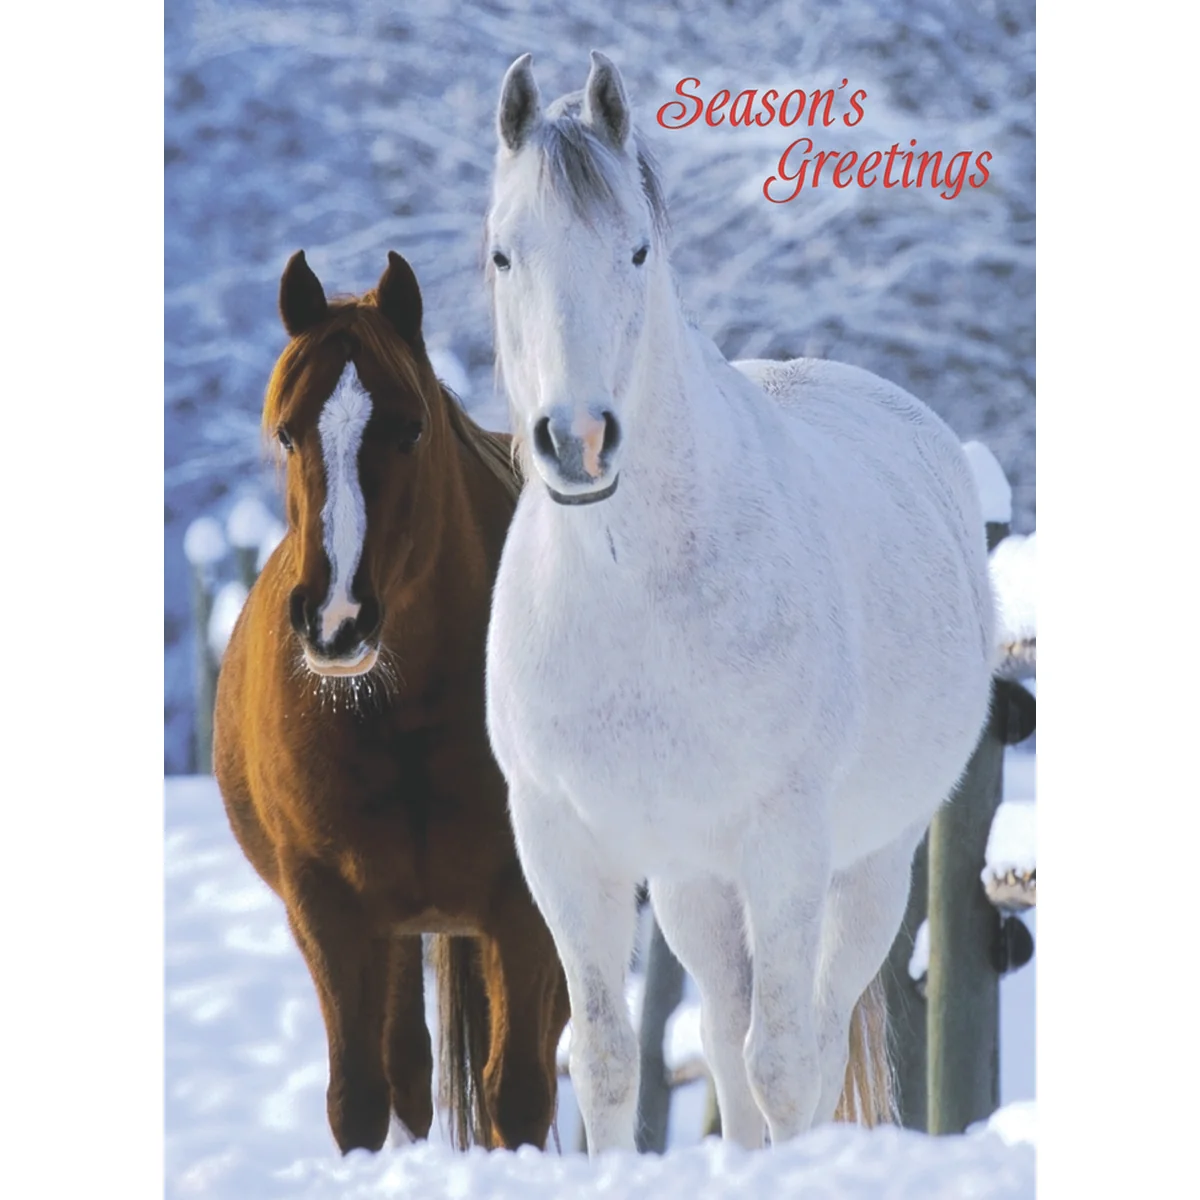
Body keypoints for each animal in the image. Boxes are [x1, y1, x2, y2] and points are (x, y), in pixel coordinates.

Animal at [212, 249, 569, 1156]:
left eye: (410, 429)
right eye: (288, 431)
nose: (337, 619)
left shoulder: (525, 904)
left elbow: (517, 1094)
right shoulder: (328, 908)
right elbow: (360, 1100)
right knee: (407, 1070)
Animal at [482, 52, 996, 1155]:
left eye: (636, 250)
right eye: (505, 254)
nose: (578, 440)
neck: (635, 592)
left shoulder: (785, 842)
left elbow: (785, 1063)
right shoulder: (562, 844)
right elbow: (606, 1059)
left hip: (868, 869)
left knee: (812, 1034)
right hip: (693, 885)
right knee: (719, 1030)